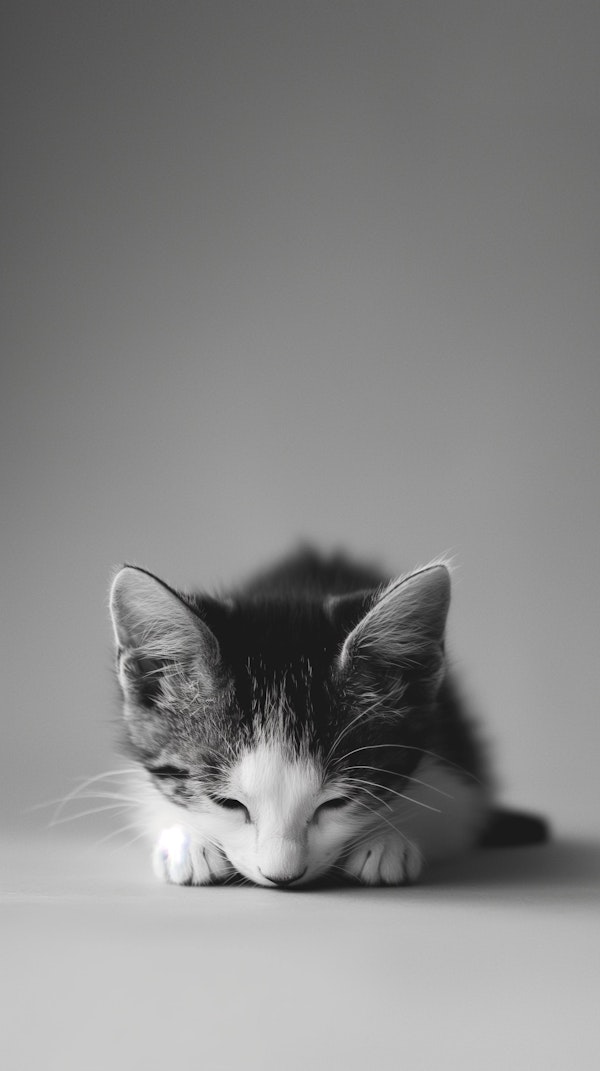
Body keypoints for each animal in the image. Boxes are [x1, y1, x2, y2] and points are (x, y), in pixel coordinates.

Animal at [108, 544, 548, 886]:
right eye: (226, 803)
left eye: (337, 803)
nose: (282, 876)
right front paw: (187, 841)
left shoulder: (451, 750)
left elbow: (454, 810)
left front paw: (385, 842)